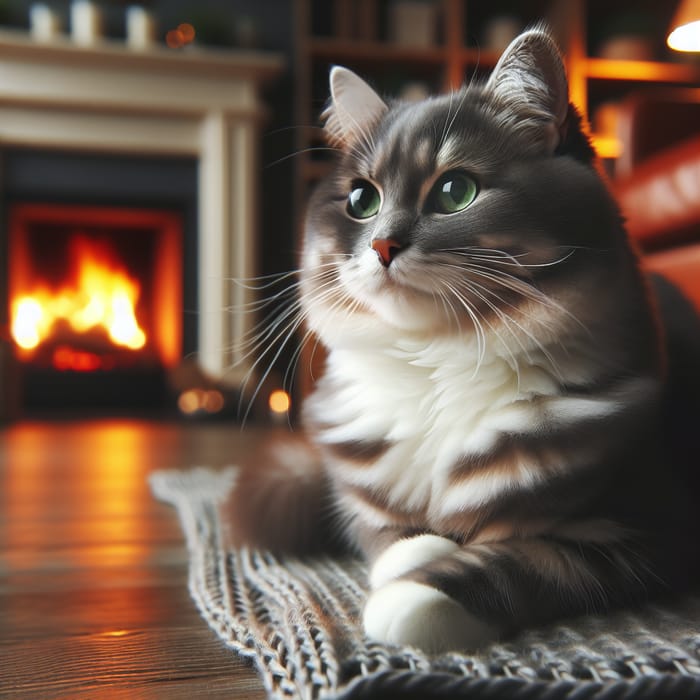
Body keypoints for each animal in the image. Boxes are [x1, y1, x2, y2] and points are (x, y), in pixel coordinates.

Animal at [230, 27, 700, 652]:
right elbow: (379, 531)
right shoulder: (357, 483)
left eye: (456, 191)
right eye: (361, 201)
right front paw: (417, 553)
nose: (382, 246)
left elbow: (531, 560)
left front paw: (417, 596)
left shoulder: (649, 524)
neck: (436, 364)